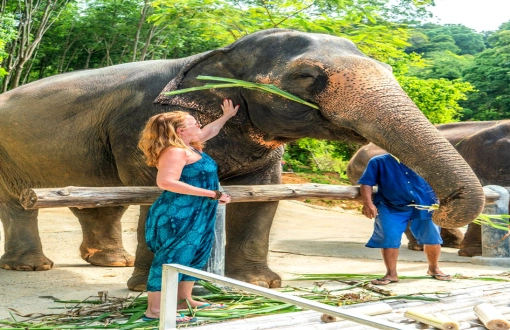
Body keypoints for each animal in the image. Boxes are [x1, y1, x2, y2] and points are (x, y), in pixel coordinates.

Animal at [0, 29, 486, 292]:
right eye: (306, 76)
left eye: (387, 70)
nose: (441, 208)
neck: (220, 52)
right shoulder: (137, 125)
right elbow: (155, 191)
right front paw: (146, 287)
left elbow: (263, 196)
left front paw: (261, 284)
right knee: (19, 203)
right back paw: (32, 267)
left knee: (99, 201)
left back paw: (108, 263)